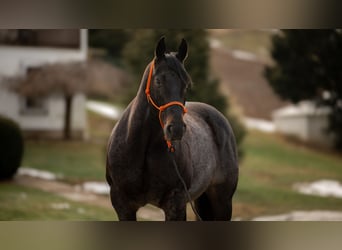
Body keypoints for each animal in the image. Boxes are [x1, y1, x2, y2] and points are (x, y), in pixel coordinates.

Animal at [105, 37, 239, 221]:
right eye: (158, 81)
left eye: (187, 84)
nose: (175, 129)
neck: (141, 148)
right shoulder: (123, 204)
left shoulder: (176, 203)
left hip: (222, 203)